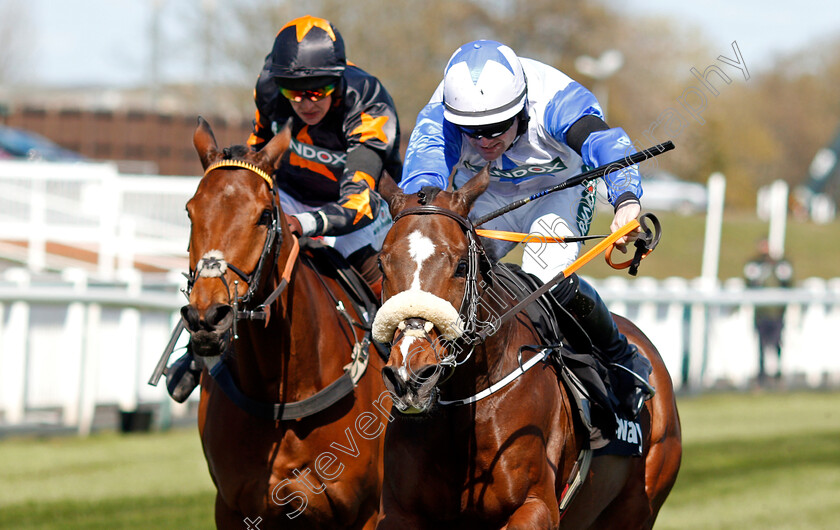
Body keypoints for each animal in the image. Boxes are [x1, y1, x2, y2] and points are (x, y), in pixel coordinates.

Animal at [374, 167, 684, 524]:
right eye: (381, 264)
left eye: (461, 266)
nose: (410, 377)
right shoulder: (399, 510)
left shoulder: (535, 504)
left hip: (638, 505)